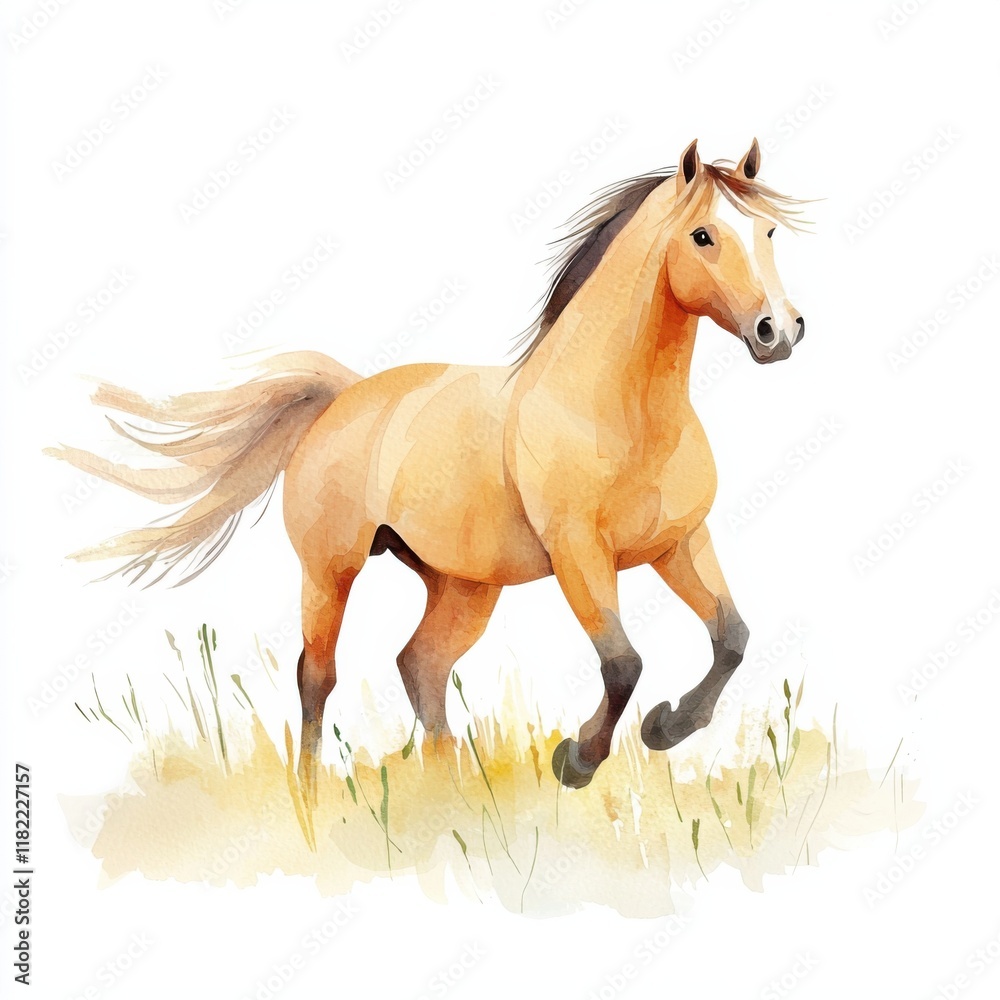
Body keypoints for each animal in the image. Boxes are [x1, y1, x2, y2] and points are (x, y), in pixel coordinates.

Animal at [49, 138, 808, 797]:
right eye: (703, 236)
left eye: (769, 231)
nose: (779, 331)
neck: (617, 411)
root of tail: (344, 396)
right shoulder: (579, 555)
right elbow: (624, 663)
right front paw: (578, 760)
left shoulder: (678, 542)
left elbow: (732, 639)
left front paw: (665, 728)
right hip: (330, 570)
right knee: (318, 676)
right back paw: (310, 800)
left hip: (463, 585)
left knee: (422, 665)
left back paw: (450, 792)